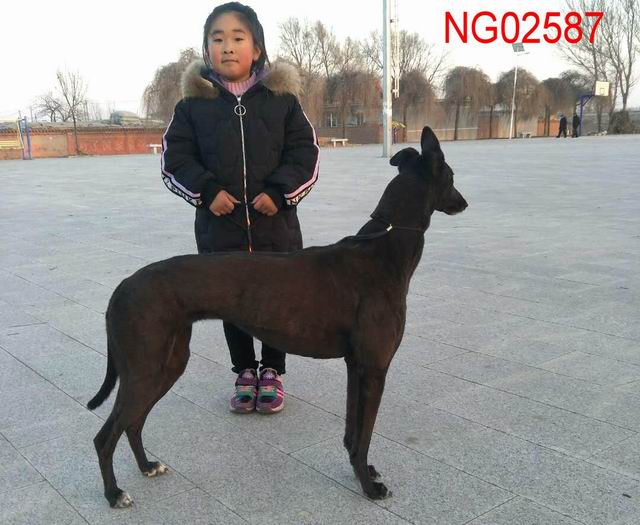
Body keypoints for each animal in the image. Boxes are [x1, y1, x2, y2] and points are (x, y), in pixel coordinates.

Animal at [87, 126, 468, 508]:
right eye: (451, 177)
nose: (463, 204)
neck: (383, 247)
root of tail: (121, 288)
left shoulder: (355, 365)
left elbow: (352, 432)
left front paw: (366, 471)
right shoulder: (375, 367)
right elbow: (363, 437)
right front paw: (369, 486)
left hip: (168, 363)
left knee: (133, 423)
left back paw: (147, 466)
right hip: (145, 367)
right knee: (105, 435)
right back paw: (113, 493)